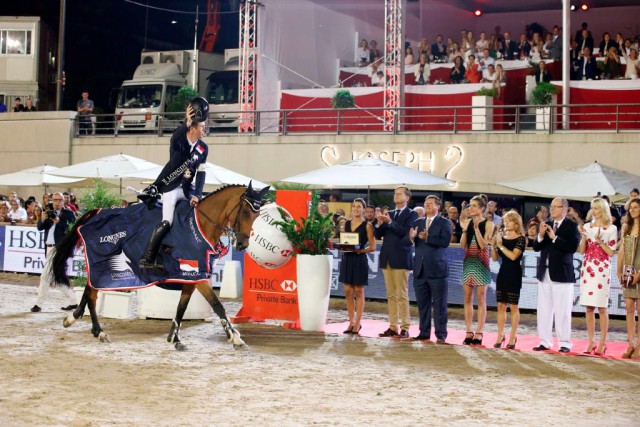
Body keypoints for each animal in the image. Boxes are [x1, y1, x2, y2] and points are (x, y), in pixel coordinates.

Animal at [50, 183, 268, 352]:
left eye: (257, 214)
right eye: (246, 211)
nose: (242, 245)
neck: (200, 225)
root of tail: (98, 211)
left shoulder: (191, 276)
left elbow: (182, 307)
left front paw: (175, 338)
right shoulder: (196, 275)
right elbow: (217, 305)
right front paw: (236, 338)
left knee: (90, 290)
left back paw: (82, 322)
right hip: (102, 265)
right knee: (92, 293)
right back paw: (97, 330)